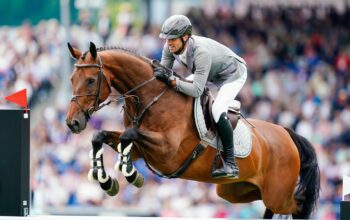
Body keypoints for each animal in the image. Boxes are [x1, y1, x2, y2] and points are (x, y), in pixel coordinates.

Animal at [65, 42, 320, 219]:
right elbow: (100, 137)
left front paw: (130, 174)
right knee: (267, 204)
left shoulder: (167, 151)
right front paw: (106, 181)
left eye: (90, 80)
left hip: (278, 194)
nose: (72, 123)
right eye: (71, 79)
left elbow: (129, 135)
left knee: (297, 203)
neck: (150, 98)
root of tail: (287, 134)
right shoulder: (139, 149)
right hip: (235, 191)